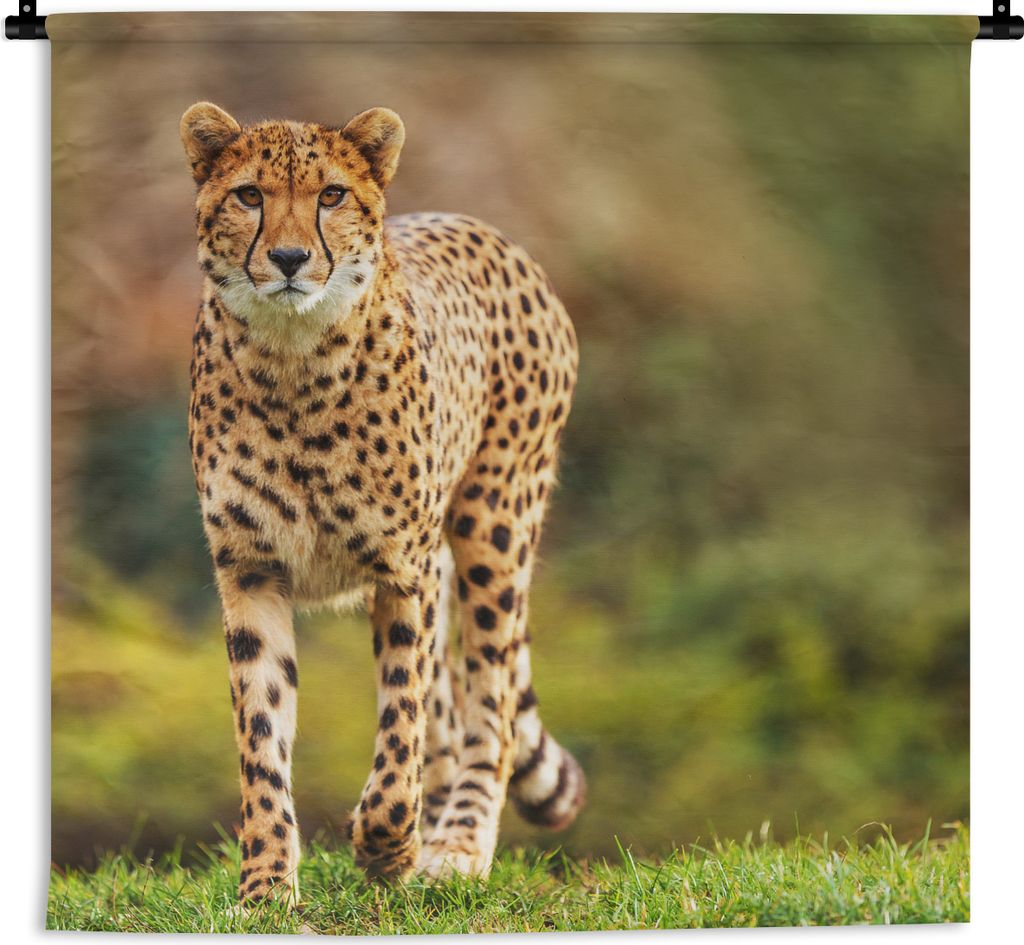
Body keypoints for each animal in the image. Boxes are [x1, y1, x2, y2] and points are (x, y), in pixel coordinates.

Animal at [180, 102, 585, 904]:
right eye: (249, 195)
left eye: (332, 195)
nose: (289, 259)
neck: (293, 360)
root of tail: (489, 233)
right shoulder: (250, 570)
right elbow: (262, 736)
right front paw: (266, 884)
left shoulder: (405, 569)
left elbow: (401, 723)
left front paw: (384, 846)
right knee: (452, 709)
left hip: (493, 524)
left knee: (487, 705)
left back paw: (455, 844)